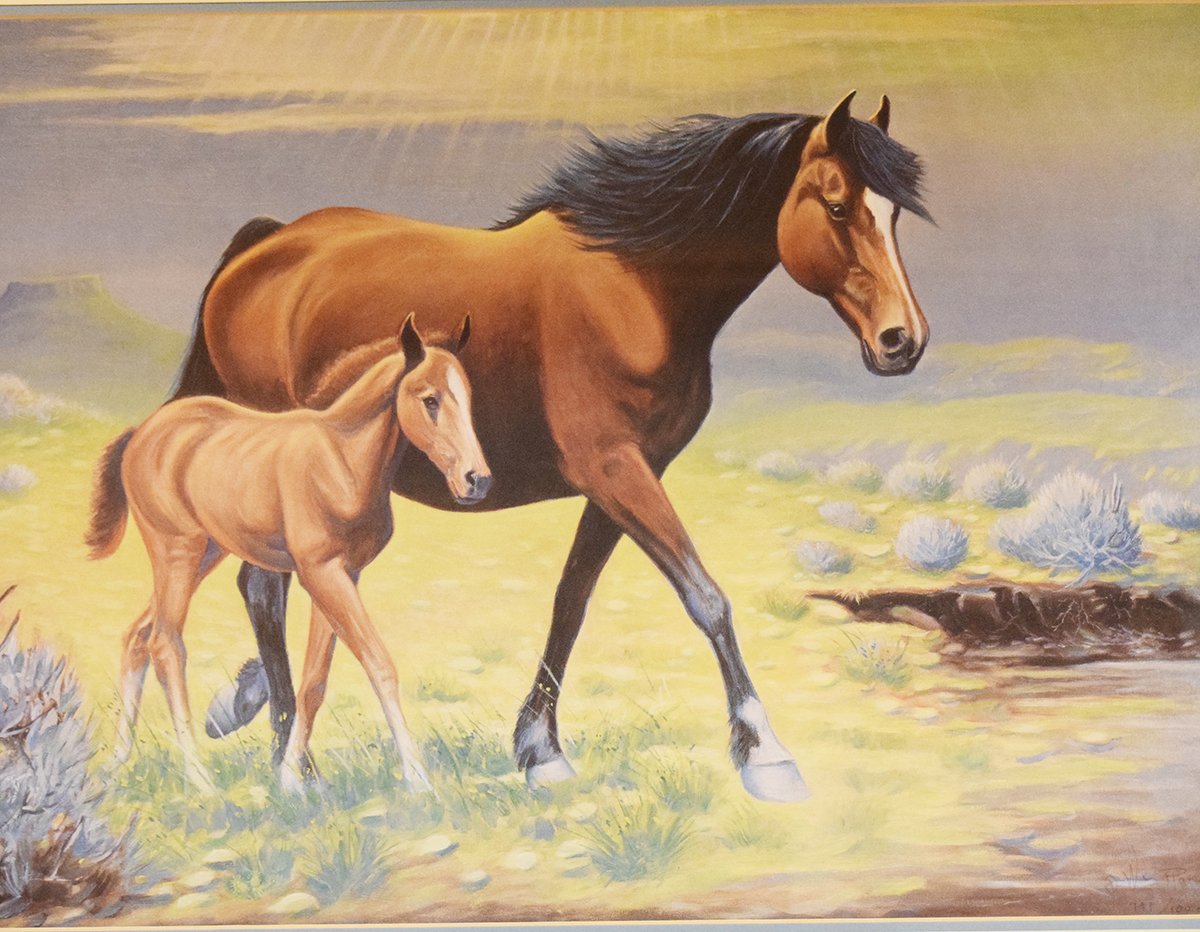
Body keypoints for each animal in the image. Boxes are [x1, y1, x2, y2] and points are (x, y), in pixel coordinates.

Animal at [86, 315, 488, 791]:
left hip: (207, 553)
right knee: (166, 644)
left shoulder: (342, 575)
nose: (477, 480)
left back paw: (116, 762)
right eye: (430, 400)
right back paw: (199, 778)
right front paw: (419, 779)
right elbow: (378, 663)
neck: (341, 461)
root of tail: (142, 432)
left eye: (468, 397)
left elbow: (314, 679)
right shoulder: (321, 573)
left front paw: (293, 777)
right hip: (177, 551)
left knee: (137, 635)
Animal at [178, 91, 932, 803]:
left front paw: (540, 749)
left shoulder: (625, 477)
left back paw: (264, 723)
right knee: (264, 589)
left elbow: (571, 600)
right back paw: (288, 754)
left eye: (893, 214)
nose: (904, 341)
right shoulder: (615, 470)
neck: (635, 287)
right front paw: (765, 753)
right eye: (836, 206)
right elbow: (706, 599)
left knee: (264, 588)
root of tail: (265, 246)